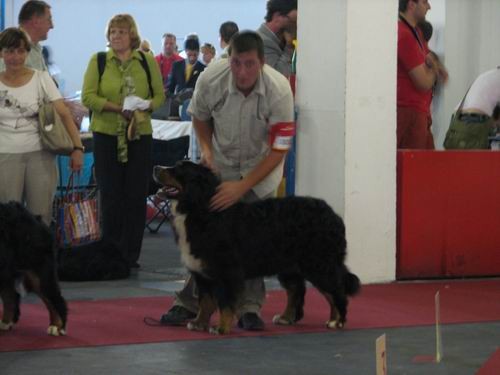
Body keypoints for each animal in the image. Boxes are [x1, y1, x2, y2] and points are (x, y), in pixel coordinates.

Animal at [0, 201, 67, 336]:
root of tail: (35, 218)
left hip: (38, 273)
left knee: (55, 299)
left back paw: (57, 326)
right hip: (7, 270)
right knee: (11, 295)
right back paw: (5, 322)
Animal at [152, 162, 360, 334]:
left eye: (178, 170)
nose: (156, 168)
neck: (201, 210)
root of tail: (333, 214)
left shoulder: (227, 272)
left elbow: (224, 302)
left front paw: (221, 327)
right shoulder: (202, 272)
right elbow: (205, 301)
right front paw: (199, 323)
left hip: (319, 263)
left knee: (336, 290)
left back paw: (337, 320)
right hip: (290, 266)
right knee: (297, 291)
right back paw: (287, 317)